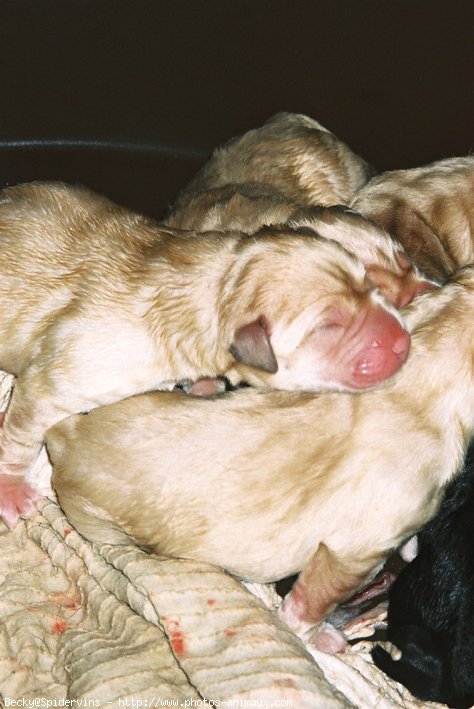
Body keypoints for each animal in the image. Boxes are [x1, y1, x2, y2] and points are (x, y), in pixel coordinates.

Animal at [0, 181, 412, 524]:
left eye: (369, 283)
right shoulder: (64, 377)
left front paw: (203, 385)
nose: (402, 342)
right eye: (328, 327)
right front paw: (11, 489)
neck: (216, 286)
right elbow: (22, 430)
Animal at [47, 266, 474, 660]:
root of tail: (62, 438)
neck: (419, 378)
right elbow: (307, 606)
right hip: (102, 523)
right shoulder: (353, 552)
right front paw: (320, 637)